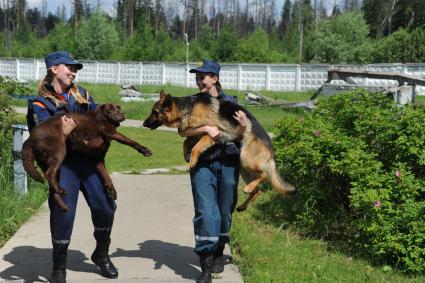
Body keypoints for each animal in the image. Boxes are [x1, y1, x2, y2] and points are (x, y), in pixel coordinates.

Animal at [22, 103, 152, 211]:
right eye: (110, 108)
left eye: (119, 108)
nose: (122, 114)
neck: (102, 118)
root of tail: (29, 139)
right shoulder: (111, 132)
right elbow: (131, 141)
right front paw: (144, 150)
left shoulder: (97, 159)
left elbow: (107, 177)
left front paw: (111, 191)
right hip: (59, 151)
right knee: (50, 174)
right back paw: (61, 190)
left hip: (49, 164)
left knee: (52, 187)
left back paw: (63, 205)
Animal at [143, 91, 294, 213]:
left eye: (155, 112)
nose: (144, 124)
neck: (188, 109)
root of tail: (270, 148)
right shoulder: (198, 134)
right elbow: (186, 143)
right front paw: (187, 156)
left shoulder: (211, 133)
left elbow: (196, 147)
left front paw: (191, 162)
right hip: (243, 167)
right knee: (258, 191)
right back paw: (243, 204)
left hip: (246, 158)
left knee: (264, 175)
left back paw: (249, 188)